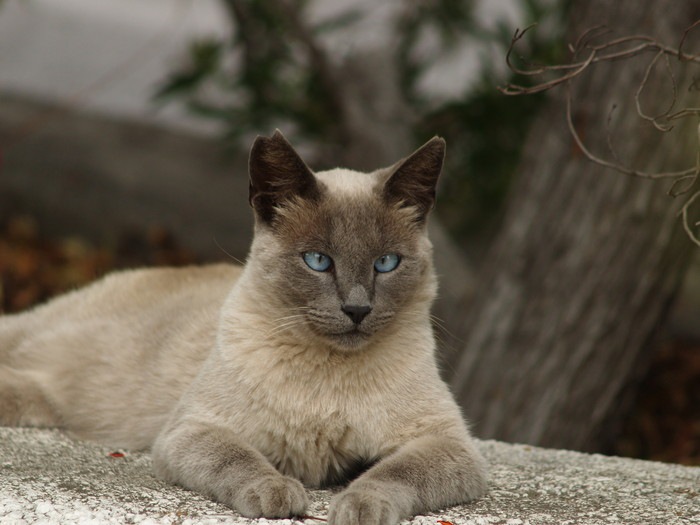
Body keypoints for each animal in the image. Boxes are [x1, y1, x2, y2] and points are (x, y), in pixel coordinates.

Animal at [0, 131, 486, 524]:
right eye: (318, 261)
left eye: (386, 263)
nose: (356, 309)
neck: (326, 377)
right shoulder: (193, 430)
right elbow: (239, 459)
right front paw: (277, 493)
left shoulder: (447, 444)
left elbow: (394, 473)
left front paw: (357, 504)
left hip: (42, 400)